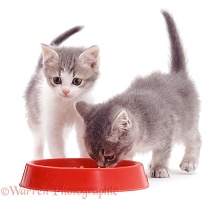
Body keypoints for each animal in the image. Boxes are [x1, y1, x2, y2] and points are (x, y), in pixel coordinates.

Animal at [24, 25, 100, 159]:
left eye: (77, 81)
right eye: (57, 80)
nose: (65, 91)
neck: (68, 103)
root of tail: (38, 72)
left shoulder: (83, 120)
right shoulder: (51, 122)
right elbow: (56, 147)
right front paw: (60, 160)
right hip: (35, 115)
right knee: (38, 138)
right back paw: (37, 157)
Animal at [75, 10, 201, 178]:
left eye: (109, 156)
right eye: (92, 156)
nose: (102, 167)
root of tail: (177, 74)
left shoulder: (166, 133)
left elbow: (162, 153)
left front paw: (160, 168)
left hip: (187, 124)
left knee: (196, 139)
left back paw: (189, 161)